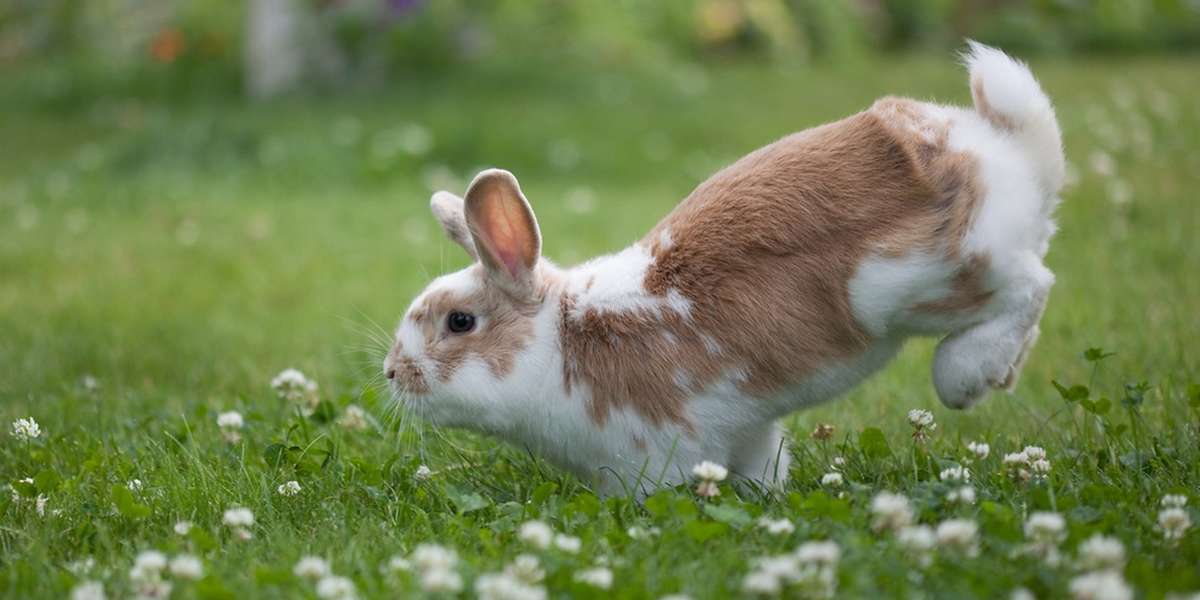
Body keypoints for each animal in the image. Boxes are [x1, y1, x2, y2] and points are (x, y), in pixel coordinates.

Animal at [381, 39, 1060, 494]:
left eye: (460, 323)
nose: (391, 373)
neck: (561, 339)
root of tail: (1003, 148)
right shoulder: (747, 430)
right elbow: (763, 467)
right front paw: (768, 500)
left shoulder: (651, 453)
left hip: (921, 282)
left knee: (1030, 285)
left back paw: (968, 375)